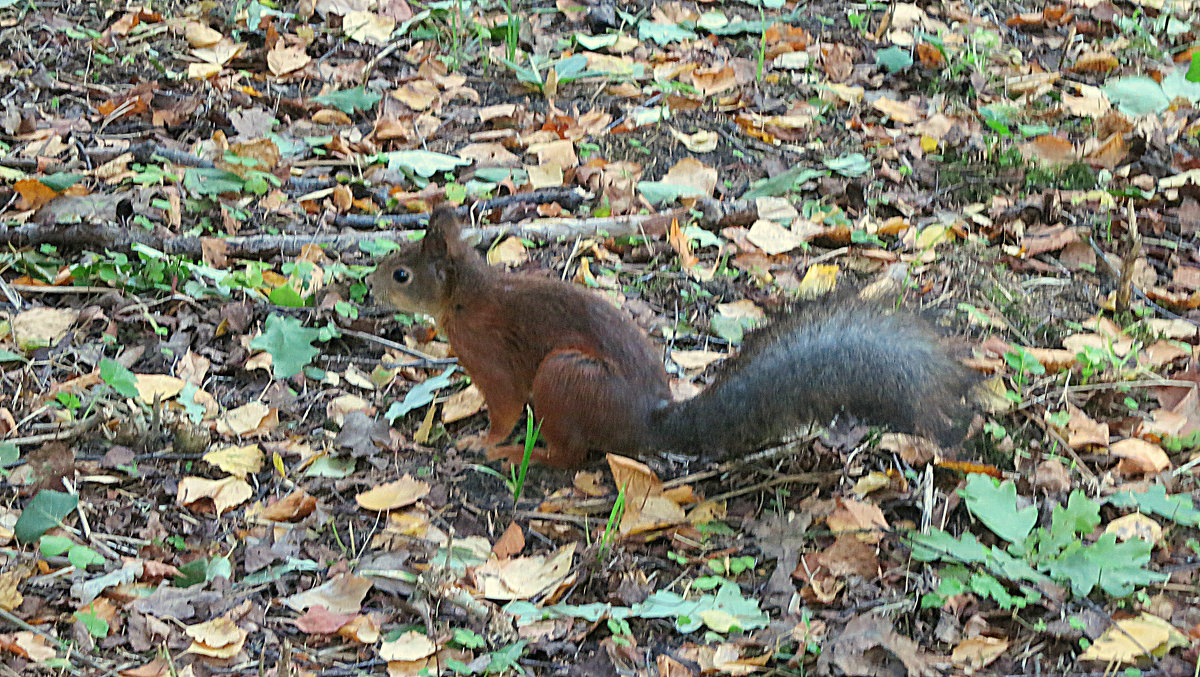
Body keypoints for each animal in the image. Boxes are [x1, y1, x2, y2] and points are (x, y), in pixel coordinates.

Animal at [367, 207, 974, 470]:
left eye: (402, 274)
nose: (371, 286)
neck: (466, 296)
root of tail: (643, 422)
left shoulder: (492, 359)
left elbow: (503, 406)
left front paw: (484, 441)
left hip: (565, 376)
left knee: (569, 454)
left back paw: (525, 456)